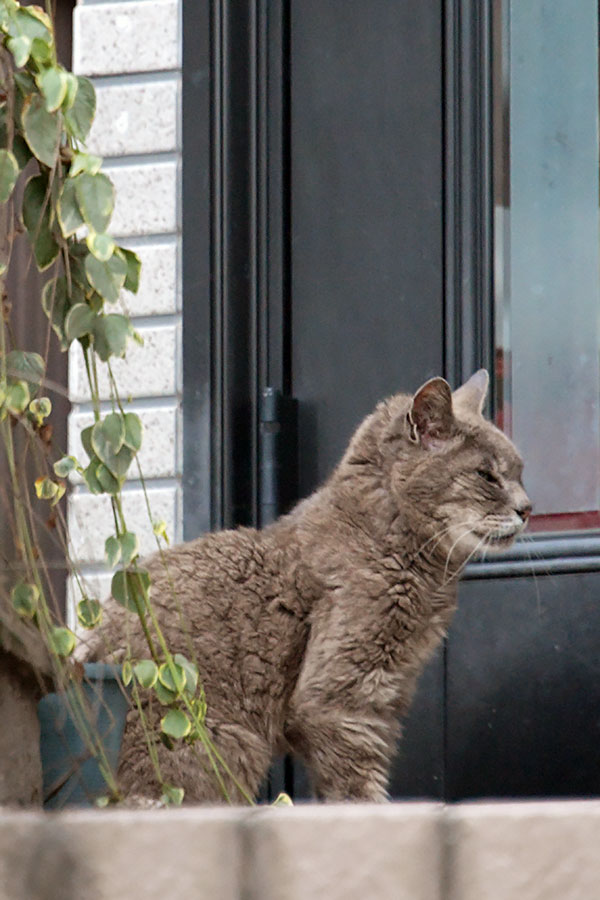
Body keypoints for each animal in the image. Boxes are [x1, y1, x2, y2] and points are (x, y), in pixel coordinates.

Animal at [88, 370, 528, 804]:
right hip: (212, 743)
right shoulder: (341, 700)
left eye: (518, 472)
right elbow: (358, 788)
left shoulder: (383, 696)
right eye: (486, 476)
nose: (527, 508)